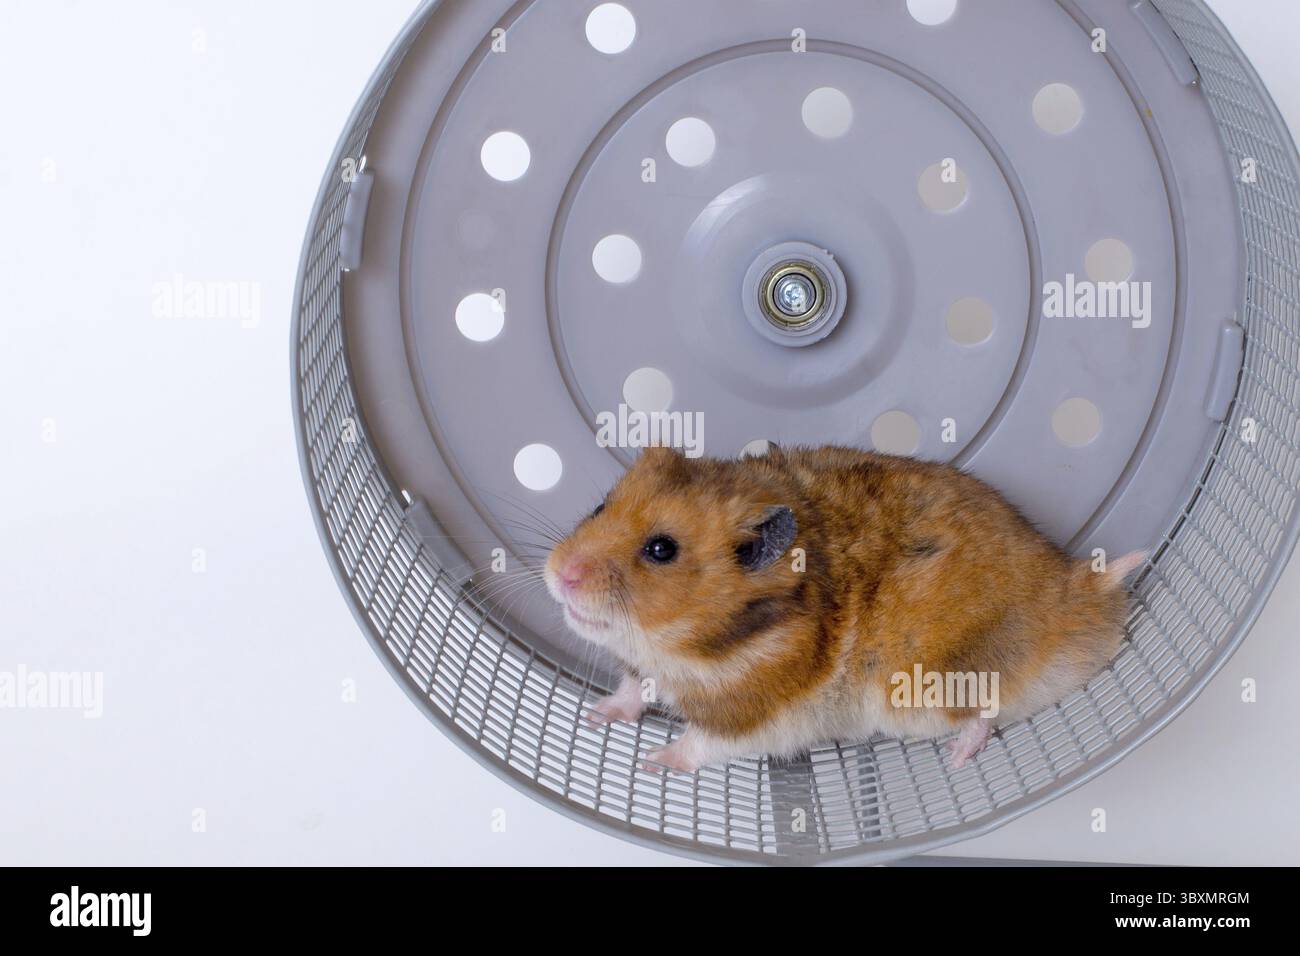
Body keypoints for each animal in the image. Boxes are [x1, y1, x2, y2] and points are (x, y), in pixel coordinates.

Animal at [543, 445, 1145, 773]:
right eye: (599, 506)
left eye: (661, 549)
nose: (559, 575)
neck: (686, 646)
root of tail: (1086, 601)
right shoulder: (642, 668)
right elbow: (630, 690)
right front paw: (595, 715)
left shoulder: (753, 718)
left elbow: (699, 742)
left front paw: (654, 763)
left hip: (924, 690)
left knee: (984, 714)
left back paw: (957, 759)